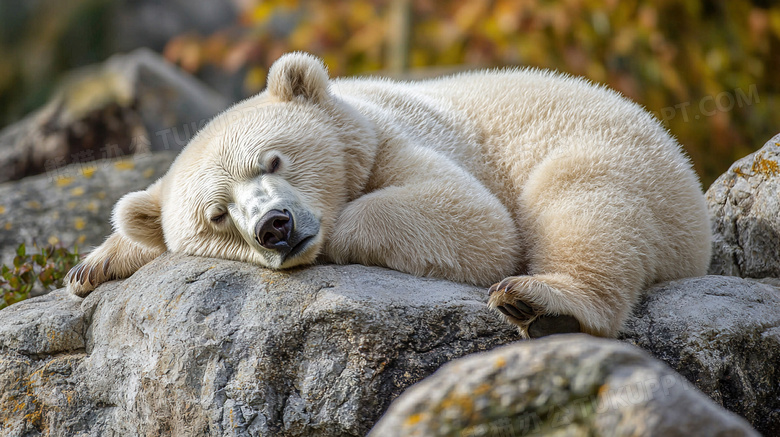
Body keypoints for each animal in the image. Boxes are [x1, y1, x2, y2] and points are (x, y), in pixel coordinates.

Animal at [67, 51, 712, 338]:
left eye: (273, 159)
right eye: (218, 215)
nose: (275, 225)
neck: (351, 109)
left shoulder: (398, 136)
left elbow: (477, 222)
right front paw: (92, 265)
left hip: (623, 160)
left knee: (580, 199)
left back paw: (541, 296)